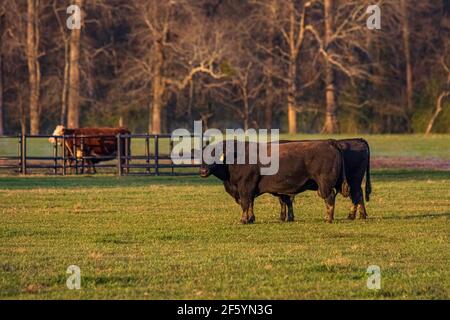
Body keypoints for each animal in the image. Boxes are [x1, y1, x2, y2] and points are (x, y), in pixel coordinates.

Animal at [200, 139, 352, 224]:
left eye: (214, 154)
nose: (203, 171)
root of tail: (330, 143)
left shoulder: (245, 186)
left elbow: (245, 204)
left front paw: (243, 220)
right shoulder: (250, 189)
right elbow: (250, 204)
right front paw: (251, 218)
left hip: (325, 184)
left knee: (329, 199)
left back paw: (328, 219)